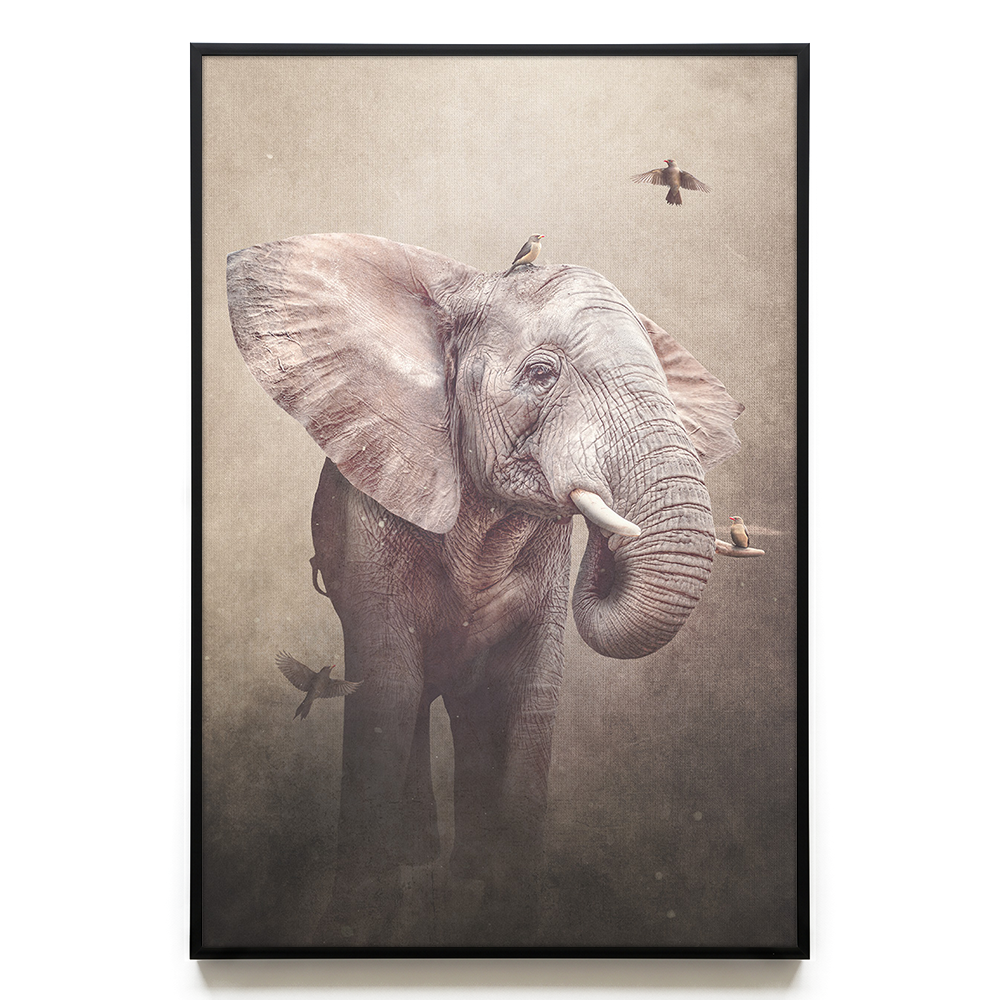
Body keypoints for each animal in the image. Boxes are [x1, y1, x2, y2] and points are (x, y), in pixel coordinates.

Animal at [226, 233, 744, 945]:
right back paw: (417, 861)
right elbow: (385, 685)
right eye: (541, 376)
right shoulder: (374, 515)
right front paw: (359, 922)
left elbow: (528, 692)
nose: (610, 534)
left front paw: (507, 914)